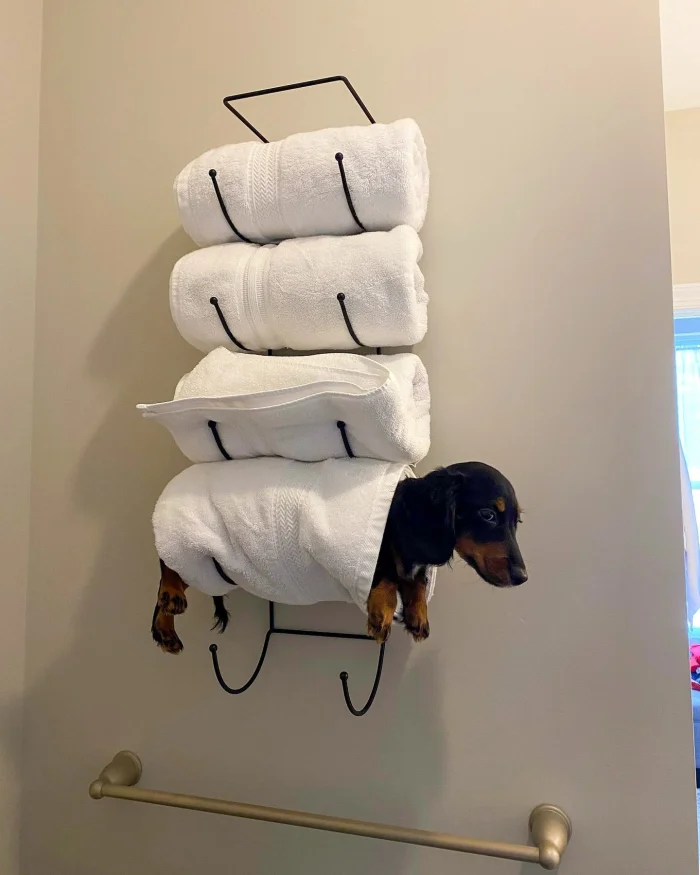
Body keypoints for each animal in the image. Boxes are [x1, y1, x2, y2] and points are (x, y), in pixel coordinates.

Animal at [151, 461, 526, 654]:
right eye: (488, 515)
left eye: (516, 521)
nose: (523, 576)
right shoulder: (379, 546)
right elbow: (385, 573)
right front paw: (382, 613)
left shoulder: (416, 562)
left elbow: (416, 581)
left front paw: (418, 615)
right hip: (187, 546)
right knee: (166, 567)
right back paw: (171, 598)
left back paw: (165, 631)